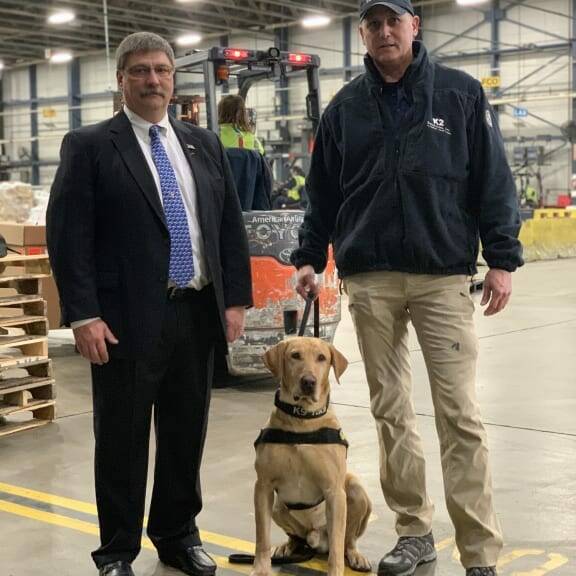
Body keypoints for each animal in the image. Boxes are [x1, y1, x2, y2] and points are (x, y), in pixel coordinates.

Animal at [252, 338, 374, 576]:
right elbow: (262, 538)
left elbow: (337, 546)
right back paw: (288, 546)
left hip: (356, 490)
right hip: (277, 508)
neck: (302, 420)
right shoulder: (263, 486)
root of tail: (316, 540)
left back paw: (355, 555)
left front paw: (335, 571)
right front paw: (261, 569)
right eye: (295, 355)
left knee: (347, 540)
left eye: (321, 358)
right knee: (296, 537)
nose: (309, 381)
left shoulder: (334, 491)